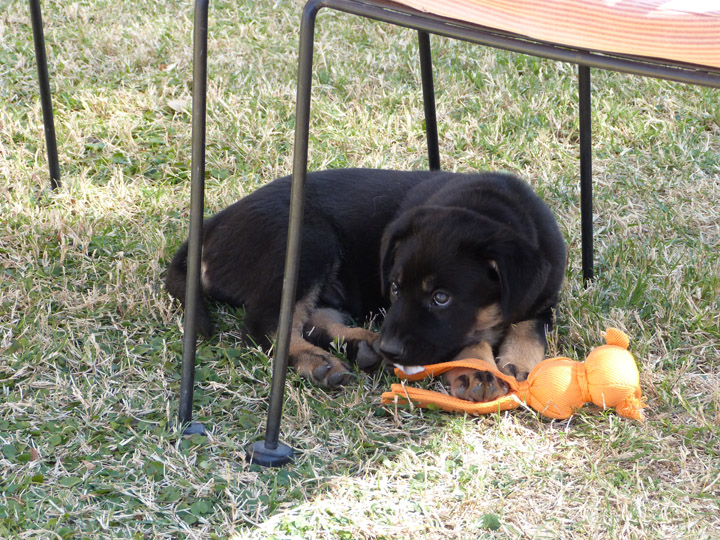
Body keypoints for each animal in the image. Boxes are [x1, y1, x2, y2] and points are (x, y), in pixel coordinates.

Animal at [166, 169, 564, 400]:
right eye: (396, 288)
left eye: (441, 297)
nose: (392, 349)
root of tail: (211, 225)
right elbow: (472, 339)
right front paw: (478, 370)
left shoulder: (542, 295)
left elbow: (529, 327)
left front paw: (517, 363)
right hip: (309, 240)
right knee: (264, 324)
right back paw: (320, 361)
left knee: (312, 317)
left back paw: (363, 346)